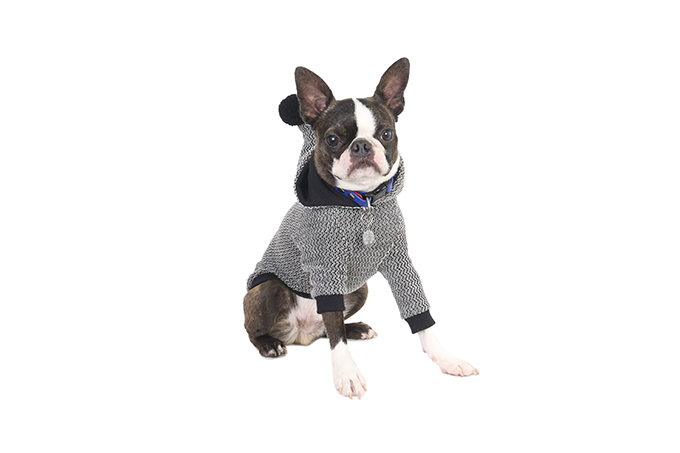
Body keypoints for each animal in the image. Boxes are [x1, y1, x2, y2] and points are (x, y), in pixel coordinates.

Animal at [244, 58, 478, 398]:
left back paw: (356, 328)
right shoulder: (325, 269)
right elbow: (334, 333)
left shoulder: (399, 261)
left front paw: (446, 357)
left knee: (328, 328)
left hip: (359, 289)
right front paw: (347, 374)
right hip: (268, 287)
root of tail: (299, 334)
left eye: (387, 133)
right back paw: (269, 344)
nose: (363, 146)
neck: (362, 204)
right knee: (267, 328)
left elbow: (419, 313)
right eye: (332, 139)